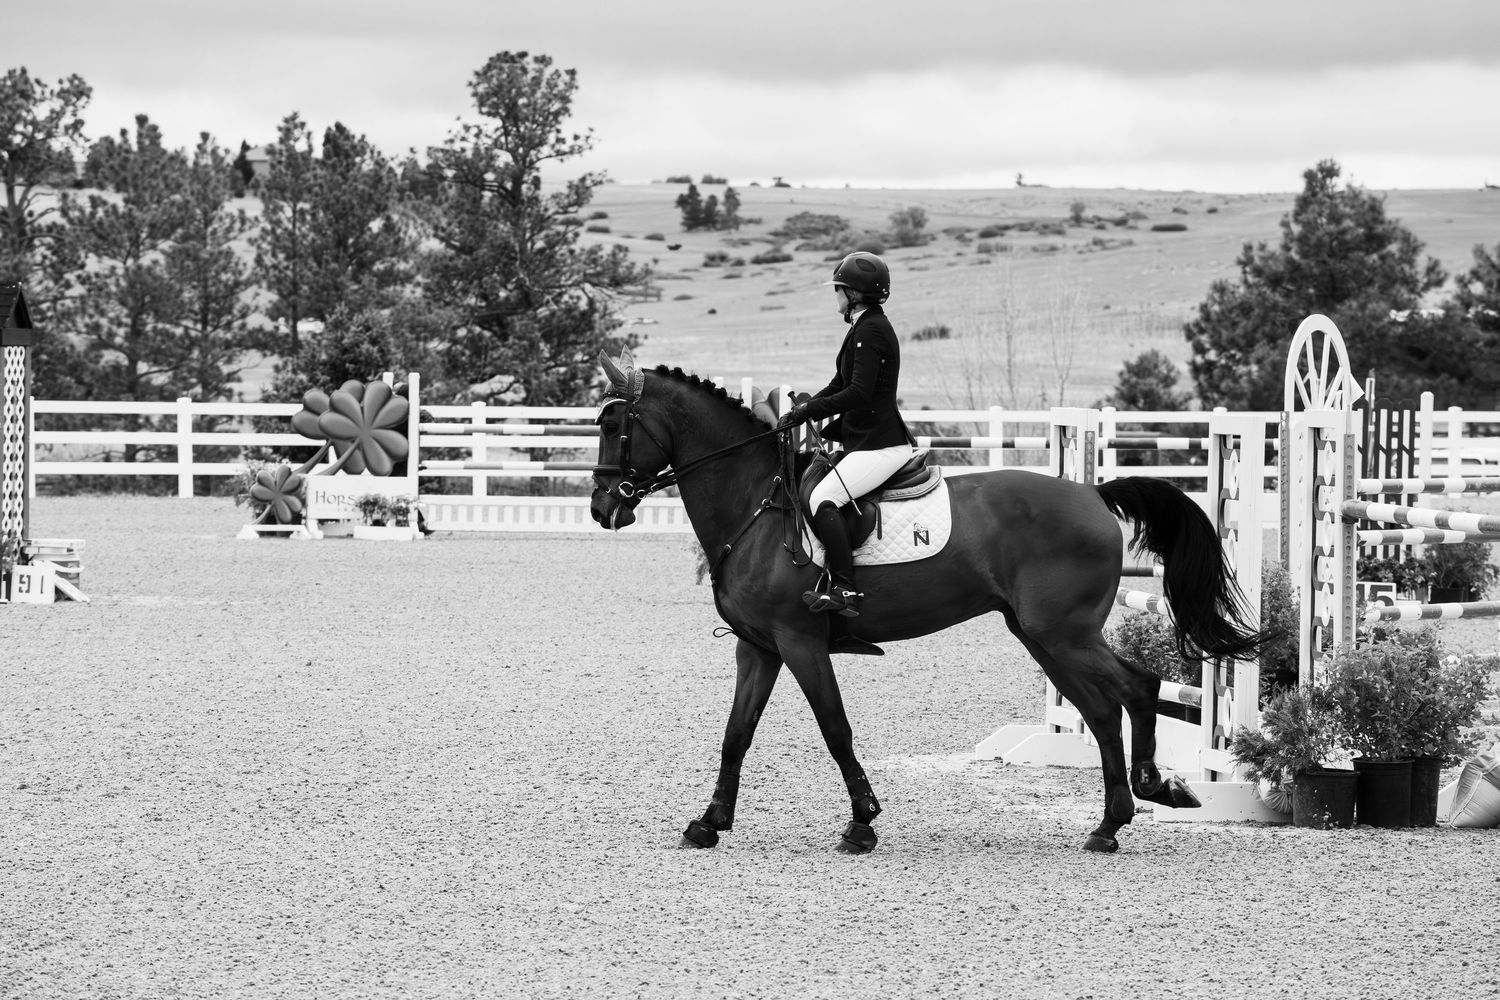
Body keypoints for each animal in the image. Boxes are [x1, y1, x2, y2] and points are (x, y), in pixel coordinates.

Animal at [589, 354, 1271, 853]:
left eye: (613, 427)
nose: (602, 508)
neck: (755, 504)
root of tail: (1093, 496)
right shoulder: (759, 648)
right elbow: (737, 733)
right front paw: (708, 823)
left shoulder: (800, 642)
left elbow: (835, 728)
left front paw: (862, 821)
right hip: (1042, 636)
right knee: (1107, 707)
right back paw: (1112, 822)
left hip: (1063, 634)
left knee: (1135, 689)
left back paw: (1147, 794)